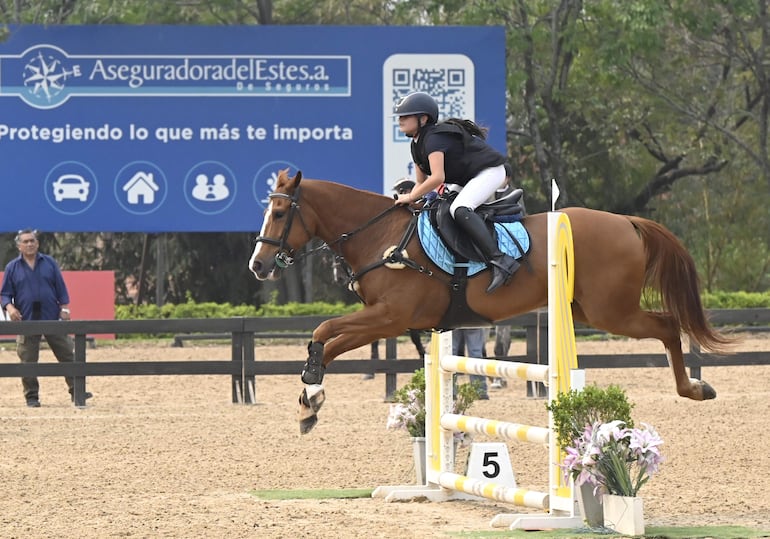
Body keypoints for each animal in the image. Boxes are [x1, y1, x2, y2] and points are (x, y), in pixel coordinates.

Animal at [249, 170, 728, 434]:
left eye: (279, 213)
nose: (258, 265)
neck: (380, 235)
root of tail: (627, 222)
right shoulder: (384, 319)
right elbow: (328, 340)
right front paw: (309, 401)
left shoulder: (389, 317)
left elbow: (324, 331)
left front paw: (311, 393)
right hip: (590, 309)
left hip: (612, 311)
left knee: (667, 325)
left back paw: (695, 388)